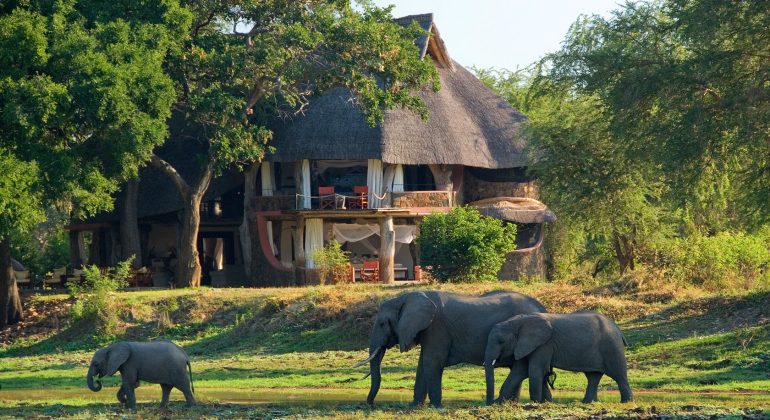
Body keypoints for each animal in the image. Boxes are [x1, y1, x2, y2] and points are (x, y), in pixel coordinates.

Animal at [354, 288, 544, 406]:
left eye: (382, 324)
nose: (369, 404)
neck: (407, 297)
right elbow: (422, 366)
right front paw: (414, 406)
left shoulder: (436, 327)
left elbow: (431, 363)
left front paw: (435, 406)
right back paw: (510, 404)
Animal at [484, 310, 632, 406]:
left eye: (501, 341)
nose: (490, 402)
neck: (519, 321)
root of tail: (619, 330)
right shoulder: (525, 345)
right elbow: (520, 371)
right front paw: (498, 404)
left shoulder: (544, 344)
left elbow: (534, 370)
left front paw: (535, 404)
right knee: (593, 376)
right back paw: (588, 403)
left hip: (612, 347)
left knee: (619, 374)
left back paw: (626, 402)